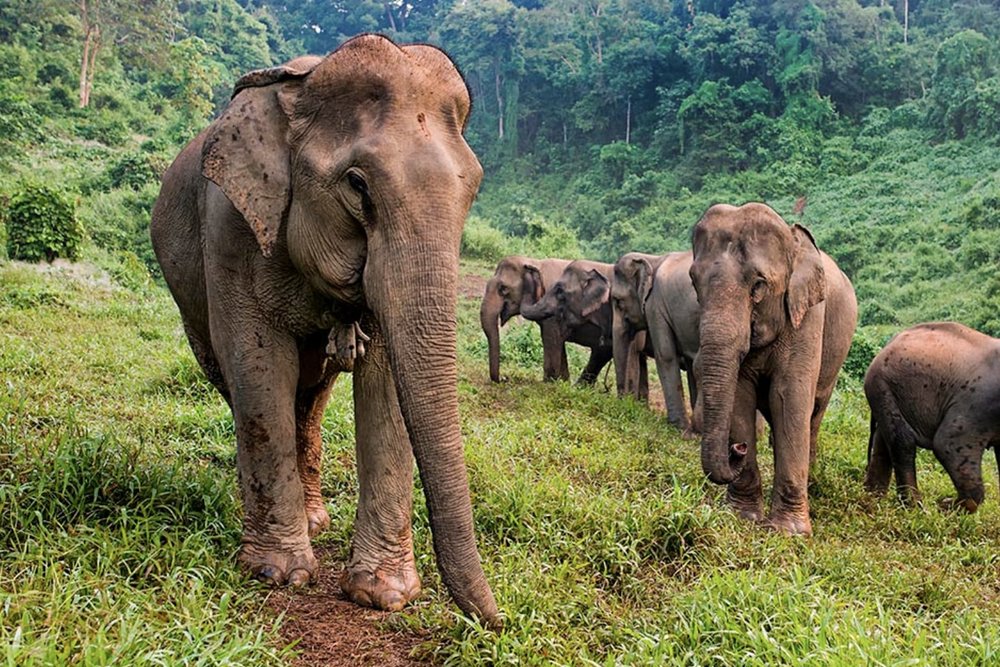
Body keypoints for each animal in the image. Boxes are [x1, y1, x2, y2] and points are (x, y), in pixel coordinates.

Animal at [149, 35, 498, 625]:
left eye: (472, 188)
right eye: (357, 185)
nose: (496, 622)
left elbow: (384, 380)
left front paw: (383, 594)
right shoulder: (230, 226)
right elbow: (258, 364)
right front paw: (277, 574)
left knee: (311, 396)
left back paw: (315, 520)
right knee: (241, 384)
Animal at [611, 251, 701, 431]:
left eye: (617, 301)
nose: (622, 403)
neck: (653, 259)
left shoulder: (656, 307)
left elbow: (665, 355)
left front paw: (681, 429)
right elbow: (691, 365)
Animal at [689, 203, 857, 536]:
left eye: (759, 285)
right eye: (693, 281)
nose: (737, 448)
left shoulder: (807, 317)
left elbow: (789, 396)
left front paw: (789, 531)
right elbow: (741, 395)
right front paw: (743, 517)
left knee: (812, 416)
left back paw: (812, 484)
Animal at [863, 322, 1000, 512]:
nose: (944, 501)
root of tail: (890, 342)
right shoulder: (978, 403)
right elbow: (947, 443)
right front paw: (944, 505)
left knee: (883, 440)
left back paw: (873, 500)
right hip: (883, 384)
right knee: (903, 442)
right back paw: (915, 508)